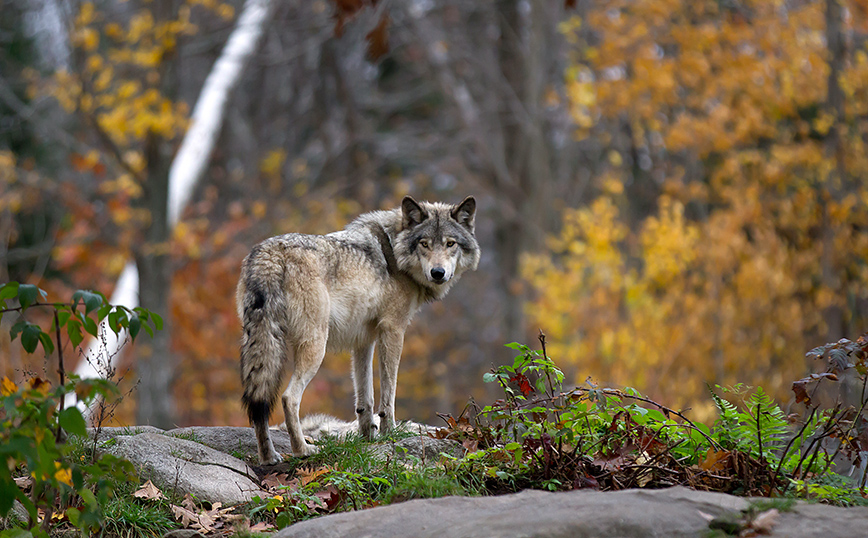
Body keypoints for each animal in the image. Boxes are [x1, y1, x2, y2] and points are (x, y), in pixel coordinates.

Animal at [237, 195, 478, 462]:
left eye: (450, 244)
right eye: (424, 244)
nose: (438, 273)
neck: (394, 251)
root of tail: (269, 254)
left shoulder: (363, 340)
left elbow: (365, 398)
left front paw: (367, 437)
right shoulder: (393, 330)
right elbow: (388, 394)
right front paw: (389, 433)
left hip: (261, 343)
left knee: (259, 402)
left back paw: (269, 457)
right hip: (315, 347)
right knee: (289, 398)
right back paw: (303, 450)